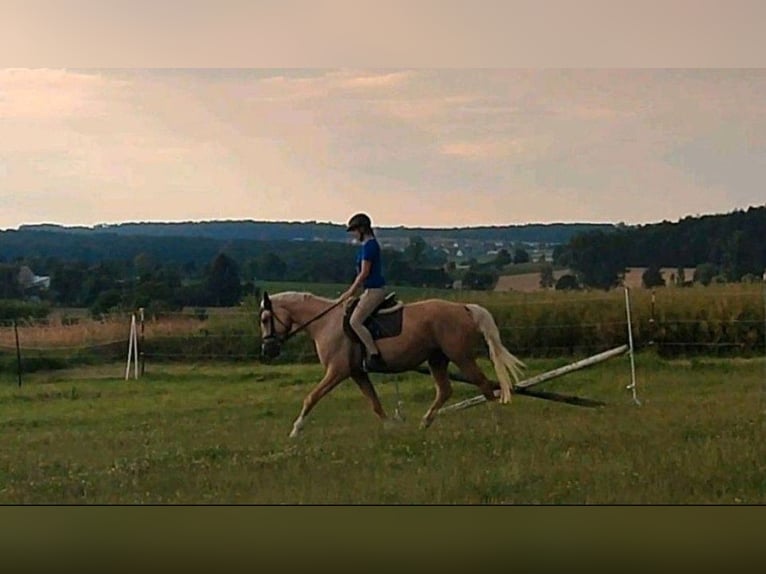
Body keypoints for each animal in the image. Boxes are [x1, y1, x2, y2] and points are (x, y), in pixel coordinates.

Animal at [260, 292, 524, 440]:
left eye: (264, 319)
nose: (267, 350)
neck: (325, 323)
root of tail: (463, 308)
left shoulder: (337, 371)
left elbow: (311, 398)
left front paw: (295, 431)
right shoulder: (357, 372)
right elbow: (374, 403)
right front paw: (391, 428)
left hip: (461, 356)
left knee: (484, 385)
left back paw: (499, 426)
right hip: (437, 359)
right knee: (445, 390)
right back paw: (424, 424)